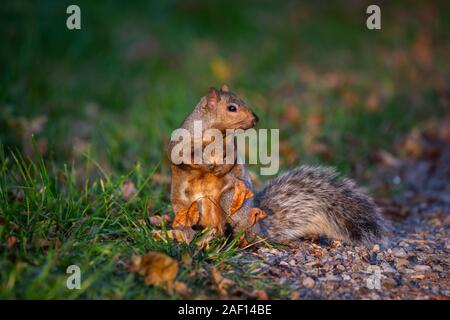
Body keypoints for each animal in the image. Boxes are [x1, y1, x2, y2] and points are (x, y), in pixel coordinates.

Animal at [167, 85, 384, 245]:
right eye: (232, 108)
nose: (255, 119)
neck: (214, 133)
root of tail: (259, 227)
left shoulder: (231, 146)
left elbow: (232, 158)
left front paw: (221, 168)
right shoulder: (182, 140)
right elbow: (179, 155)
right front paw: (203, 164)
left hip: (231, 201)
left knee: (235, 230)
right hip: (187, 205)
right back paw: (189, 234)